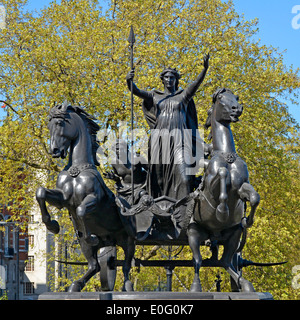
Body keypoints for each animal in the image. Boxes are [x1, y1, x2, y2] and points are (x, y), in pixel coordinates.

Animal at [35, 103, 135, 292]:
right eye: (48, 125)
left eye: (59, 123)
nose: (54, 151)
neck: (77, 170)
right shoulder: (63, 199)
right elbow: (41, 192)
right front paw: (52, 225)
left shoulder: (94, 198)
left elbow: (81, 210)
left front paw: (92, 236)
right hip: (86, 244)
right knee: (95, 266)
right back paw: (76, 284)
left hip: (128, 239)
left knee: (126, 265)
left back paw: (127, 286)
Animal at [188, 88, 260, 292]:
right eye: (220, 98)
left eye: (236, 97)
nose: (238, 108)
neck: (226, 155)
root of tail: (212, 236)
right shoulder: (212, 184)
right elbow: (221, 174)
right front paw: (222, 210)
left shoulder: (241, 186)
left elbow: (254, 196)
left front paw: (248, 219)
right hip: (194, 233)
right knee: (197, 260)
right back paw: (195, 287)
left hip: (233, 236)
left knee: (225, 261)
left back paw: (245, 285)